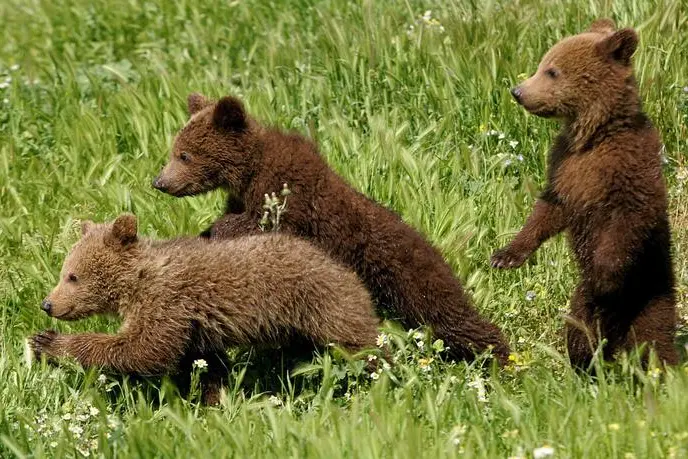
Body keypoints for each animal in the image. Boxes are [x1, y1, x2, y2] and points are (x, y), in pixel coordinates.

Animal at [30, 214, 380, 404]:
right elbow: (210, 367)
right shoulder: (196, 329)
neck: (136, 284)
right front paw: (215, 399)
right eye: (64, 270)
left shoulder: (168, 304)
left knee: (361, 345)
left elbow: (142, 349)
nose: (48, 304)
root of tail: (346, 269)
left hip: (322, 304)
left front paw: (48, 343)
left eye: (73, 276)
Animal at [152, 93, 510, 365]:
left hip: (408, 274)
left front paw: (216, 231)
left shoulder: (289, 194)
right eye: (175, 150)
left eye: (185, 155)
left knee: (448, 312)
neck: (249, 172)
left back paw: (498, 356)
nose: (159, 182)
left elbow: (262, 224)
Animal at [491, 19, 678, 368]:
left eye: (552, 71)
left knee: (654, 341)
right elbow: (548, 210)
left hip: (652, 290)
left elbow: (630, 218)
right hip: (581, 306)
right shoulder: (565, 168)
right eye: (544, 64)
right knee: (580, 332)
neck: (594, 135)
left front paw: (603, 276)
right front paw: (505, 256)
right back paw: (585, 366)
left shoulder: (629, 166)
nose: (518, 91)